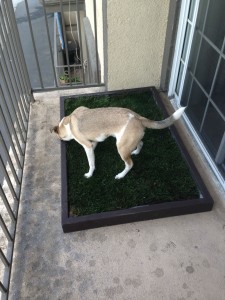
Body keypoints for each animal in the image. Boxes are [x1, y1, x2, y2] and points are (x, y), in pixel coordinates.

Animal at [51, 106, 185, 179]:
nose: (61, 141)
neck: (68, 122)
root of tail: (138, 117)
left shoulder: (86, 145)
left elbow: (91, 163)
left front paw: (90, 174)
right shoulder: (93, 141)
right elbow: (94, 149)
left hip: (121, 148)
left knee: (130, 164)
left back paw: (121, 175)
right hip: (129, 141)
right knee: (141, 143)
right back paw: (136, 152)